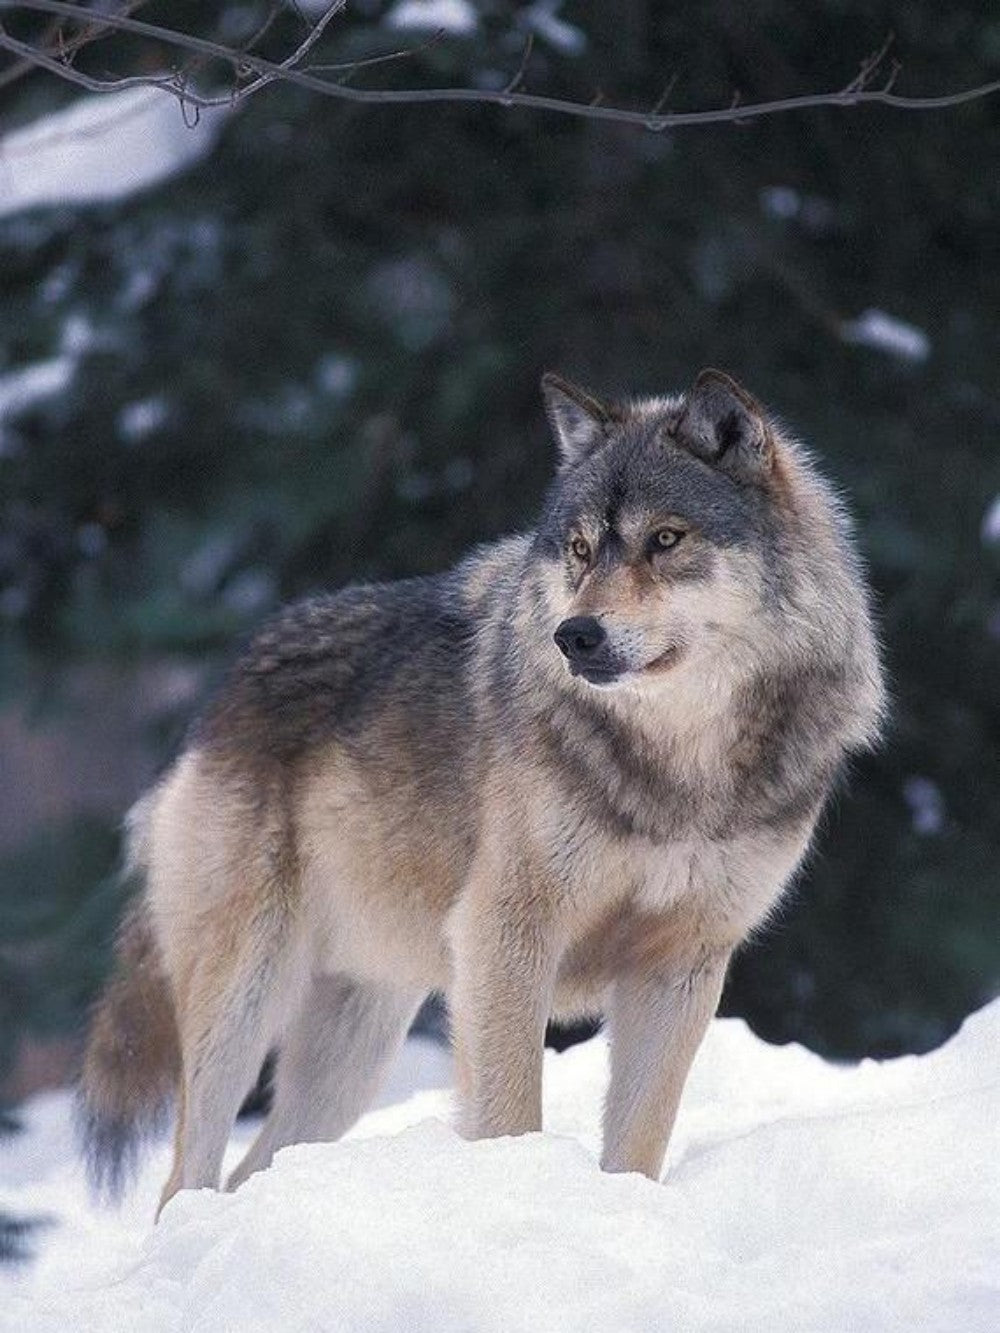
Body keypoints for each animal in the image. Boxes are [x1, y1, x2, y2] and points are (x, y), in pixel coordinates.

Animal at [79, 369, 884, 1214]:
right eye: (579, 548)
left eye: (666, 539)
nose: (575, 635)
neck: (678, 767)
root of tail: (218, 696)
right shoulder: (506, 934)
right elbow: (509, 1111)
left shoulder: (683, 963)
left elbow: (639, 1139)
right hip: (247, 997)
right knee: (184, 1176)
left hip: (352, 1051)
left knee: (252, 1168)